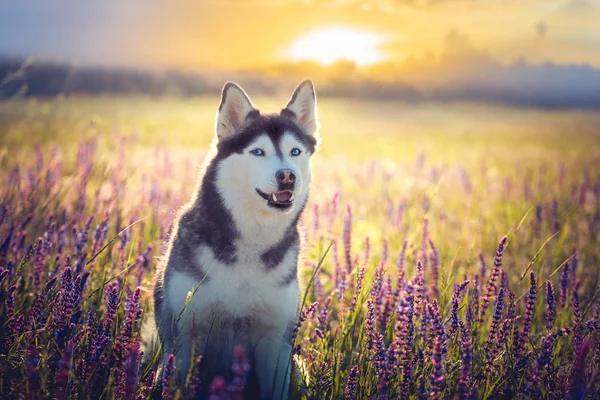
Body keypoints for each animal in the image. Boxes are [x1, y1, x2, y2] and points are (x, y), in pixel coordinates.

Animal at [154, 79, 318, 398]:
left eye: (295, 151)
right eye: (258, 152)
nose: (288, 176)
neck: (251, 243)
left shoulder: (274, 342)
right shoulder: (185, 336)